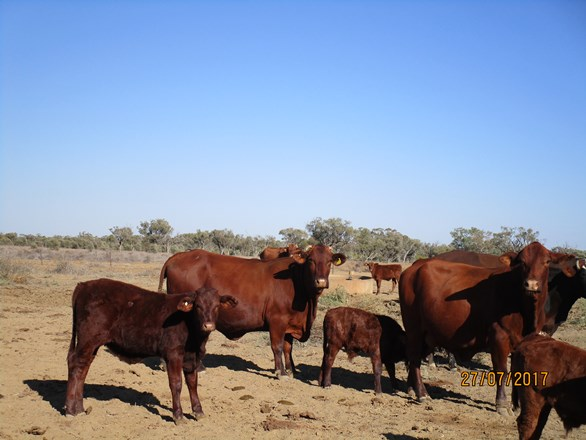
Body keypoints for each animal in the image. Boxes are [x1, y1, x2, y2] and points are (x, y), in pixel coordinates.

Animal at [63, 278, 235, 422]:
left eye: (217, 306)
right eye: (198, 306)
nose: (208, 325)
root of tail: (84, 285)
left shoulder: (191, 358)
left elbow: (192, 383)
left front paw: (198, 411)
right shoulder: (173, 354)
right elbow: (176, 383)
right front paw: (178, 415)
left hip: (92, 344)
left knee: (83, 368)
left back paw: (79, 408)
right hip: (87, 340)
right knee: (76, 365)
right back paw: (71, 410)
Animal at [157, 244, 344, 378]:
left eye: (329, 261)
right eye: (311, 260)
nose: (321, 281)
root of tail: (177, 256)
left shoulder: (290, 323)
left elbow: (287, 348)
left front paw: (291, 370)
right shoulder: (277, 320)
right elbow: (277, 346)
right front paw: (281, 372)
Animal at [396, 242, 576, 414]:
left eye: (546, 262)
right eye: (522, 262)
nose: (531, 284)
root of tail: (415, 267)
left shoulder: (521, 343)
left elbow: (517, 373)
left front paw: (515, 405)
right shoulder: (499, 337)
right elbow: (502, 371)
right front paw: (502, 405)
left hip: (428, 334)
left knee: (414, 357)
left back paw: (411, 389)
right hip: (414, 329)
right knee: (414, 358)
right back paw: (422, 393)